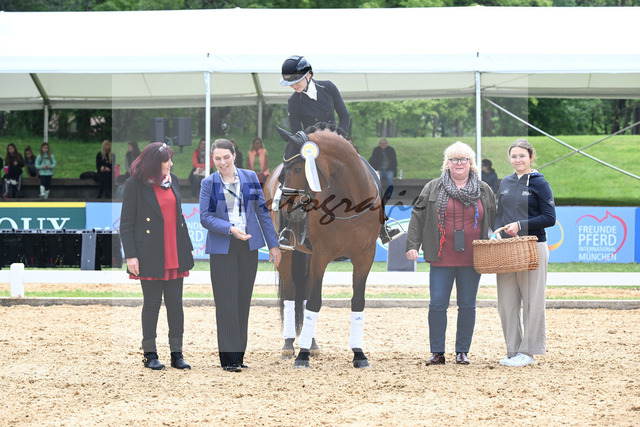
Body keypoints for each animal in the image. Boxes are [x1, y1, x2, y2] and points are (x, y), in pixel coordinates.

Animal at [264, 123, 382, 369]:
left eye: (297, 169)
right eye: (285, 171)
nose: (287, 210)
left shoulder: (365, 256)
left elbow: (357, 301)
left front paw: (359, 354)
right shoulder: (321, 255)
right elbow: (314, 302)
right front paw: (302, 357)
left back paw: (312, 344)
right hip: (286, 254)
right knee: (291, 293)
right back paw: (290, 345)